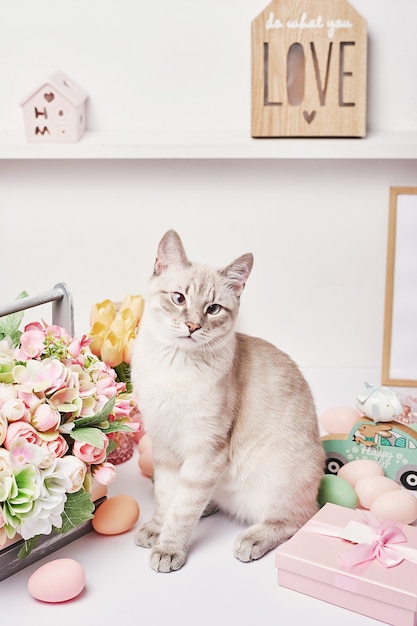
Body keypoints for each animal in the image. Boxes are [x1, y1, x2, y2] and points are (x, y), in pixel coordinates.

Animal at [130, 229, 324, 572]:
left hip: (276, 478)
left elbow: (182, 510)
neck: (172, 365)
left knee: (298, 517)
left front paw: (169, 549)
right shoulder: (165, 447)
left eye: (213, 309)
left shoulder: (206, 450)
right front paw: (156, 529)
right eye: (178, 299)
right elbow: (168, 499)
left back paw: (251, 540)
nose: (193, 326)